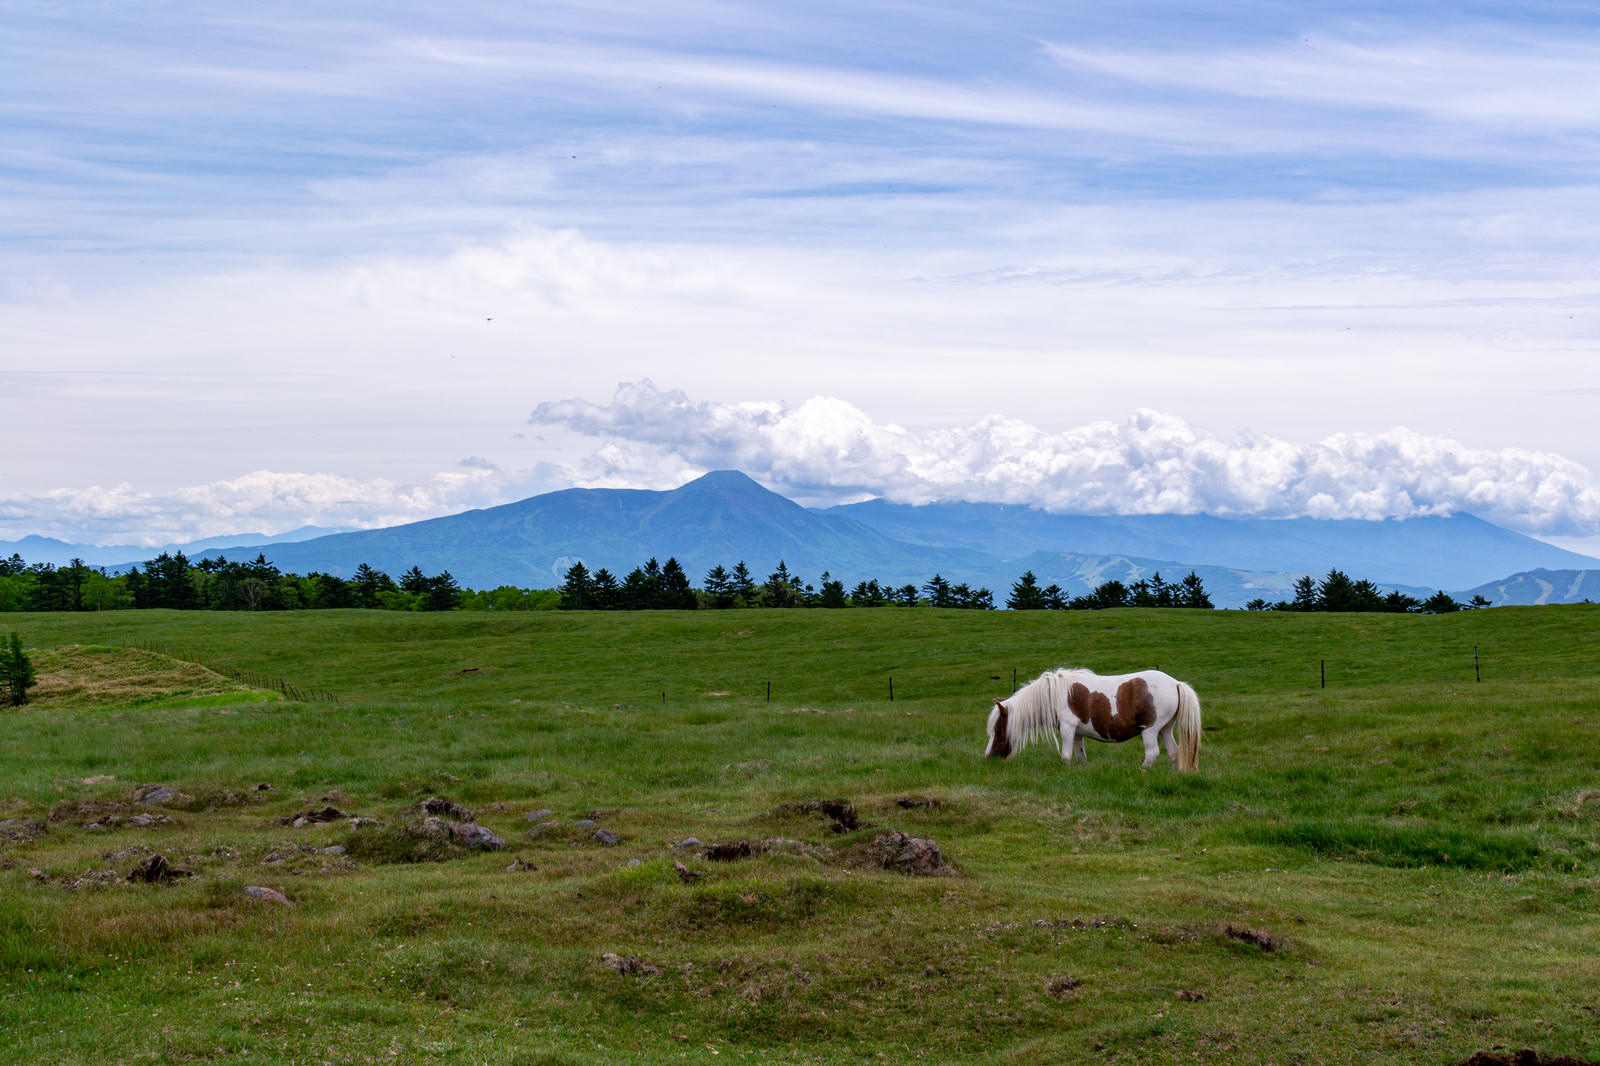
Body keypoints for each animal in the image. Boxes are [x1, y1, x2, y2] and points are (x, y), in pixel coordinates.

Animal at [984, 667, 1202, 771]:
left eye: (998, 730)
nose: (989, 756)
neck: (1053, 694)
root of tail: (1176, 683)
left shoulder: (1067, 729)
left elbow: (1065, 756)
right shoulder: (1077, 734)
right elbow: (1080, 756)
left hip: (1150, 730)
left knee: (1152, 754)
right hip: (1165, 729)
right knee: (1174, 753)